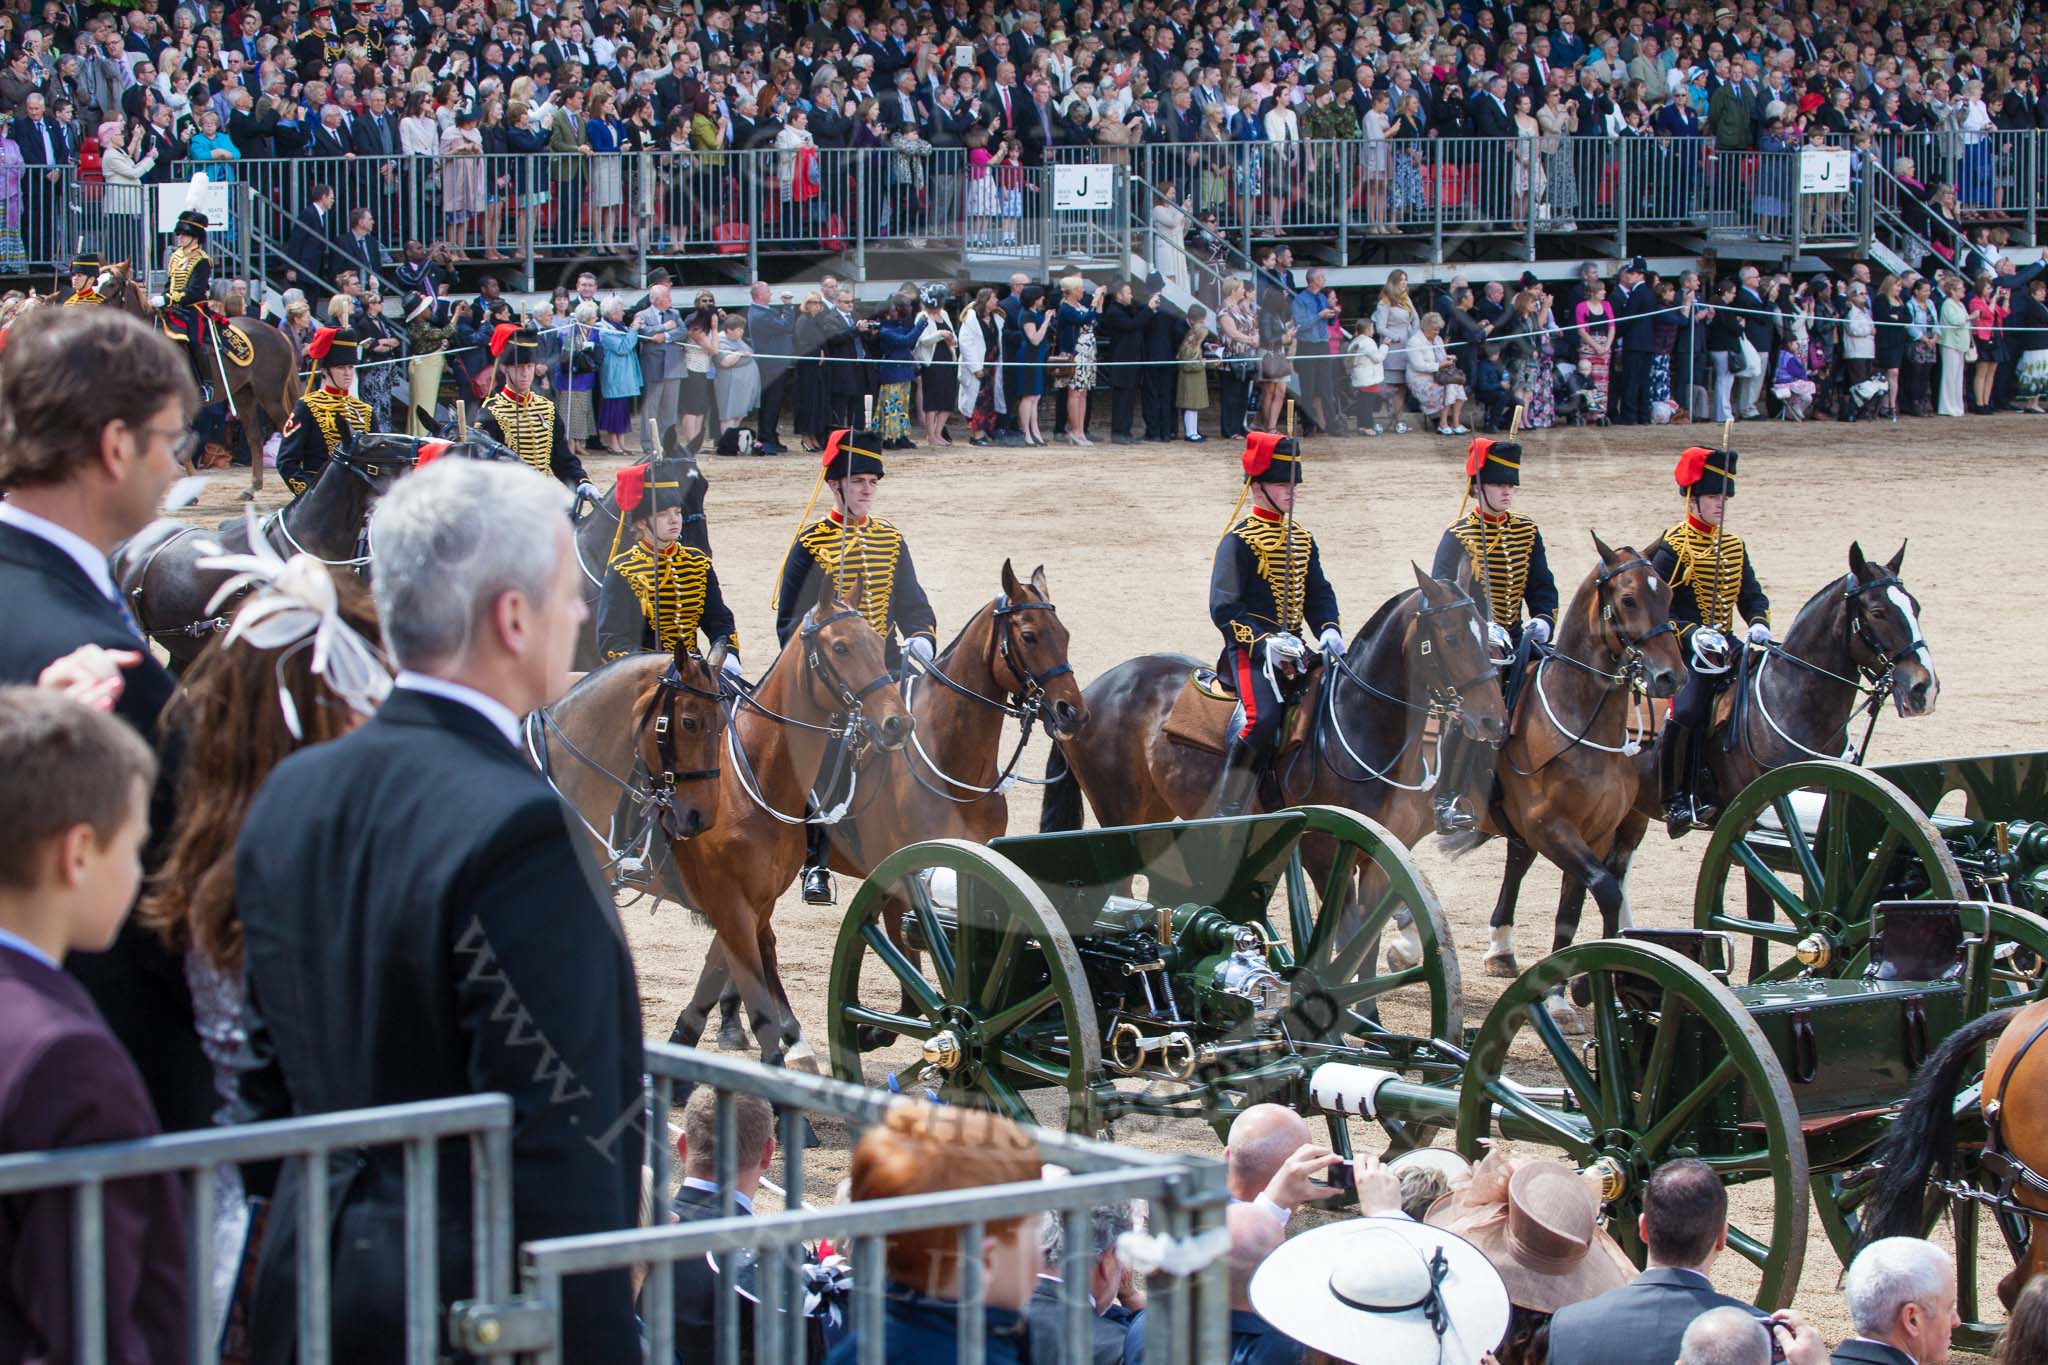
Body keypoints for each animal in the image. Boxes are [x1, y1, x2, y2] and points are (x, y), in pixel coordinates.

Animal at [97, 261, 299, 497]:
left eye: (111, 284)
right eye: (96, 281)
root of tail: (277, 333)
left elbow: (179, 447)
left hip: (270, 395)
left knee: (287, 428)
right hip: (244, 395)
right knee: (255, 437)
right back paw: (253, 486)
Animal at [1466, 536, 1687, 1023]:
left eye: (1667, 594)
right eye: (1628, 599)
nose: (1671, 677)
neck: (1581, 724)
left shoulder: (1595, 834)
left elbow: (1573, 908)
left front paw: (1561, 992)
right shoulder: (1551, 828)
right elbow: (1605, 889)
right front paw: (1589, 983)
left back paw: (1500, 951)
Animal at [1490, 544, 1933, 982]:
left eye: (1915, 606)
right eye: (1878, 611)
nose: (1924, 687)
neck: (1789, 700)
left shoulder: (1825, 813)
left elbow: (1823, 885)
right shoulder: (1757, 819)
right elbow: (1762, 907)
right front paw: (1759, 975)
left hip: (1628, 812)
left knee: (1593, 863)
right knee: (1530, 856)